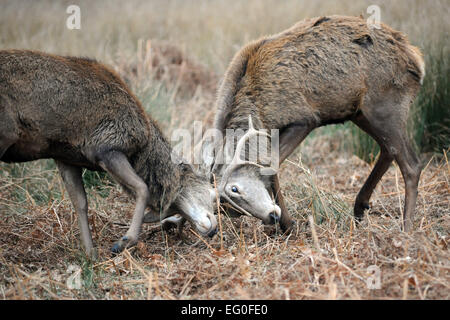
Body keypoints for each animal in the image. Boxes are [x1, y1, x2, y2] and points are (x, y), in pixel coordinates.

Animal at [0, 48, 218, 256]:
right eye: (207, 190)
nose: (214, 228)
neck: (143, 148)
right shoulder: (107, 147)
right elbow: (142, 187)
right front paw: (124, 241)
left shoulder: (65, 157)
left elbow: (80, 203)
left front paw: (91, 256)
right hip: (5, 134)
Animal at [209, 15, 424, 232]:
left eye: (234, 189)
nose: (271, 217)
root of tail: (417, 60)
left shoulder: (304, 119)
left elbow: (272, 165)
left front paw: (289, 224)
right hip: (360, 113)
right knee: (388, 150)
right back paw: (360, 207)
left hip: (386, 107)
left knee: (411, 164)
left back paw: (405, 228)